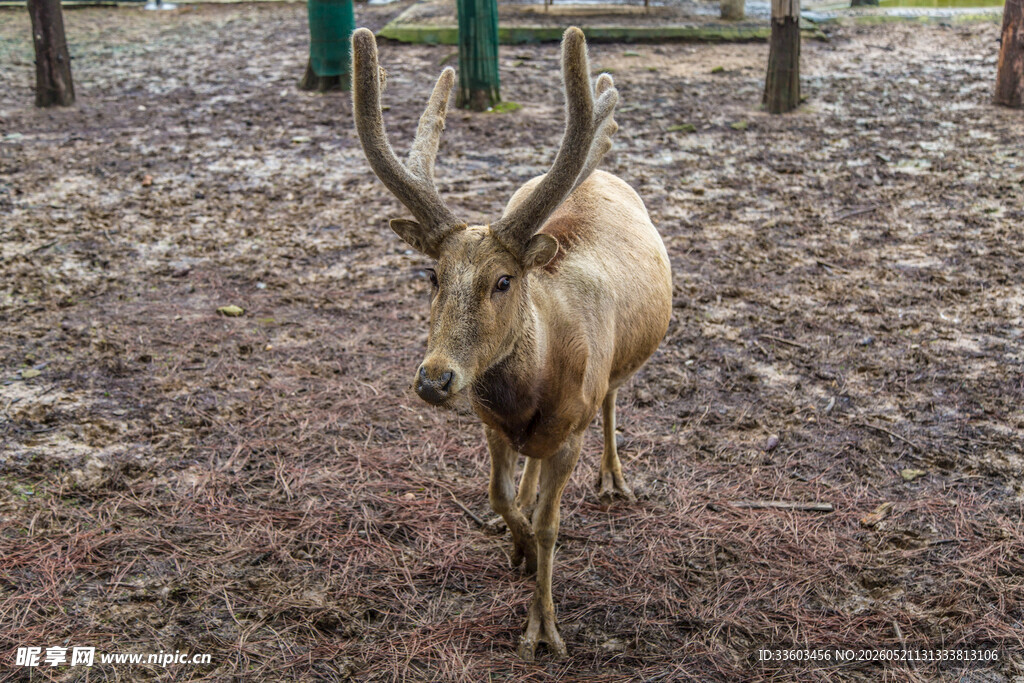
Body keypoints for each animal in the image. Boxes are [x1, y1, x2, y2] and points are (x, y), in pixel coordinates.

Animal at [350, 26, 673, 660]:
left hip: (619, 369)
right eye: (433, 275)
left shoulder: (571, 428)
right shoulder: (491, 423)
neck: (535, 386)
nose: (435, 378)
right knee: (528, 468)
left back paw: (614, 480)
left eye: (503, 280)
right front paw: (514, 542)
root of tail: (603, 175)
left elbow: (551, 526)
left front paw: (543, 629)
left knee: (613, 400)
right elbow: (500, 495)